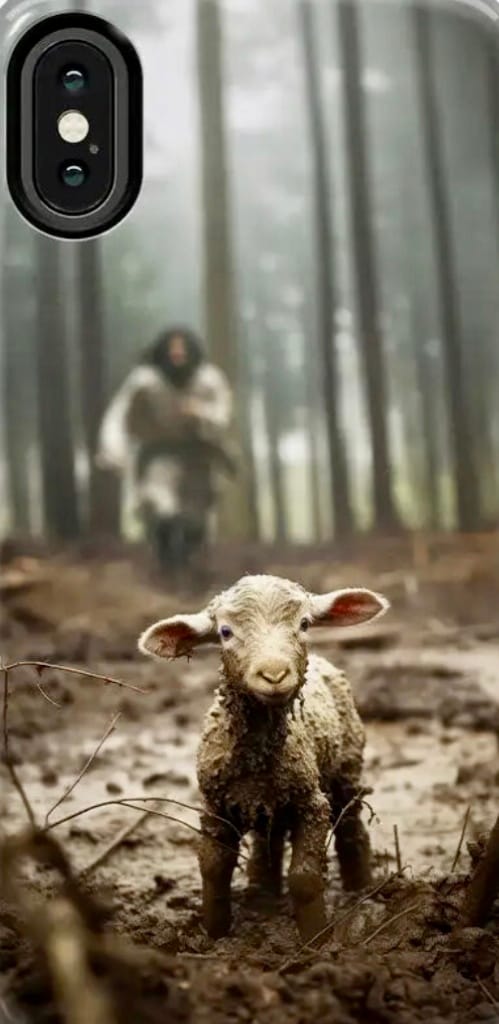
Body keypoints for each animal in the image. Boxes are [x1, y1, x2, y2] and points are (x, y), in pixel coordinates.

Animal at [139, 574, 389, 942]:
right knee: (267, 842)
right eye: (225, 632)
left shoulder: (311, 803)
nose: (274, 675)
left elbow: (304, 877)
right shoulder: (214, 804)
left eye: (304, 623)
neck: (256, 758)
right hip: (268, 802)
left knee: (351, 826)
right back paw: (263, 894)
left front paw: (316, 940)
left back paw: (361, 889)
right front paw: (214, 933)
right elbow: (213, 868)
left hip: (346, 768)